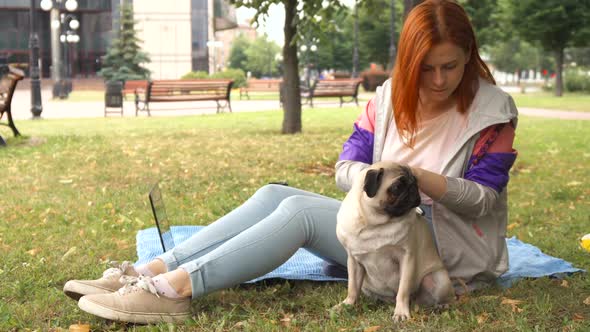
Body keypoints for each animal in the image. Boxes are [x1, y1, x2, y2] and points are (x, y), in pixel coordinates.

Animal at [336, 161, 456, 322]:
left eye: (416, 182)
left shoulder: (407, 258)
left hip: (440, 279)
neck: (375, 224)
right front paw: (347, 304)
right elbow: (353, 288)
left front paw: (401, 313)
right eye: (397, 187)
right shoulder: (354, 261)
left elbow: (403, 290)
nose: (413, 188)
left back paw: (442, 306)